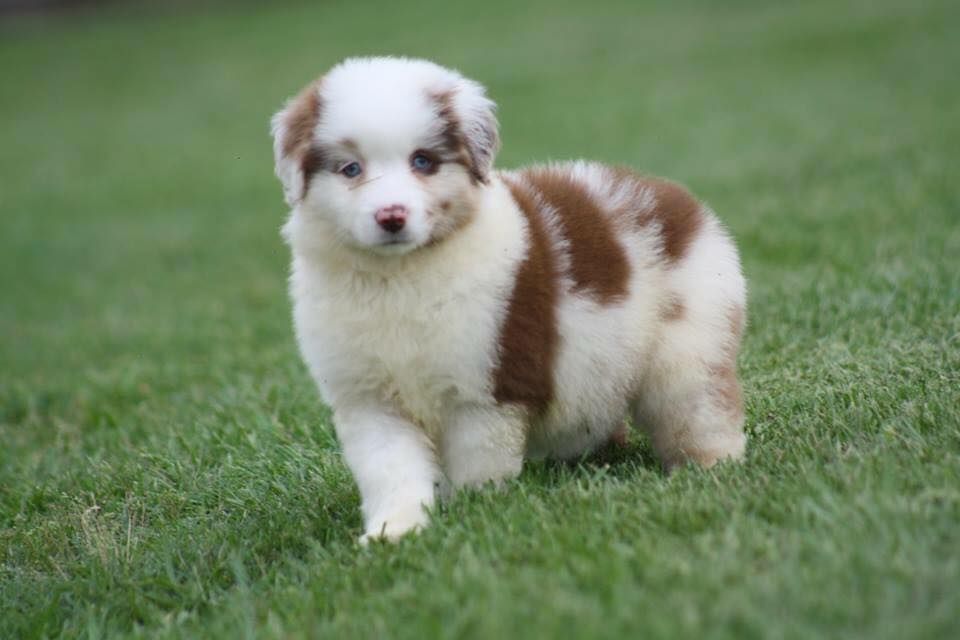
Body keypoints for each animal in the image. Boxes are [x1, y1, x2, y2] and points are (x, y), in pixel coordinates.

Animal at [272, 57, 752, 544]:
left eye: (422, 161)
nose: (392, 216)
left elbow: (477, 461)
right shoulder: (367, 399)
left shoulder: (486, 386)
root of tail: (678, 201)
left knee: (699, 405)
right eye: (351, 169)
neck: (399, 278)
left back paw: (712, 468)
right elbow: (390, 469)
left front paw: (473, 510)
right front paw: (394, 531)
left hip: (691, 341)